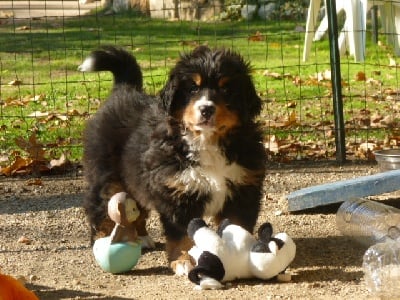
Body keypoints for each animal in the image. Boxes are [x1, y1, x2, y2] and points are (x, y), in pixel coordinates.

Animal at [79, 45, 266, 274]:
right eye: (192, 89)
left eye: (226, 89)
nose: (206, 109)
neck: (207, 141)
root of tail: (124, 90)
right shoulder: (177, 193)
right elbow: (181, 234)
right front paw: (184, 261)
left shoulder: (242, 189)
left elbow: (238, 227)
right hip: (107, 174)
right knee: (99, 206)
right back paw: (102, 239)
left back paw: (142, 237)